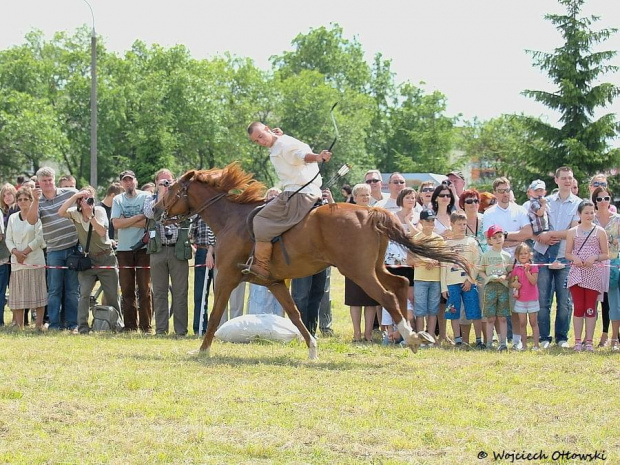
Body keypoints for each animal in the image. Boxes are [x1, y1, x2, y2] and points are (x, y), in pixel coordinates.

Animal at [155, 163, 464, 358]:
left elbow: (216, 313)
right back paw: (413, 334)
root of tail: (370, 212)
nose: (156, 210)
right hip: (373, 267)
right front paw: (313, 348)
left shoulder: (226, 278)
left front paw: (202, 349)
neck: (232, 219)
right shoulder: (275, 282)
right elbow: (295, 314)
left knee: (387, 295)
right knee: (399, 283)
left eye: (171, 190)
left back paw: (409, 335)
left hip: (358, 271)